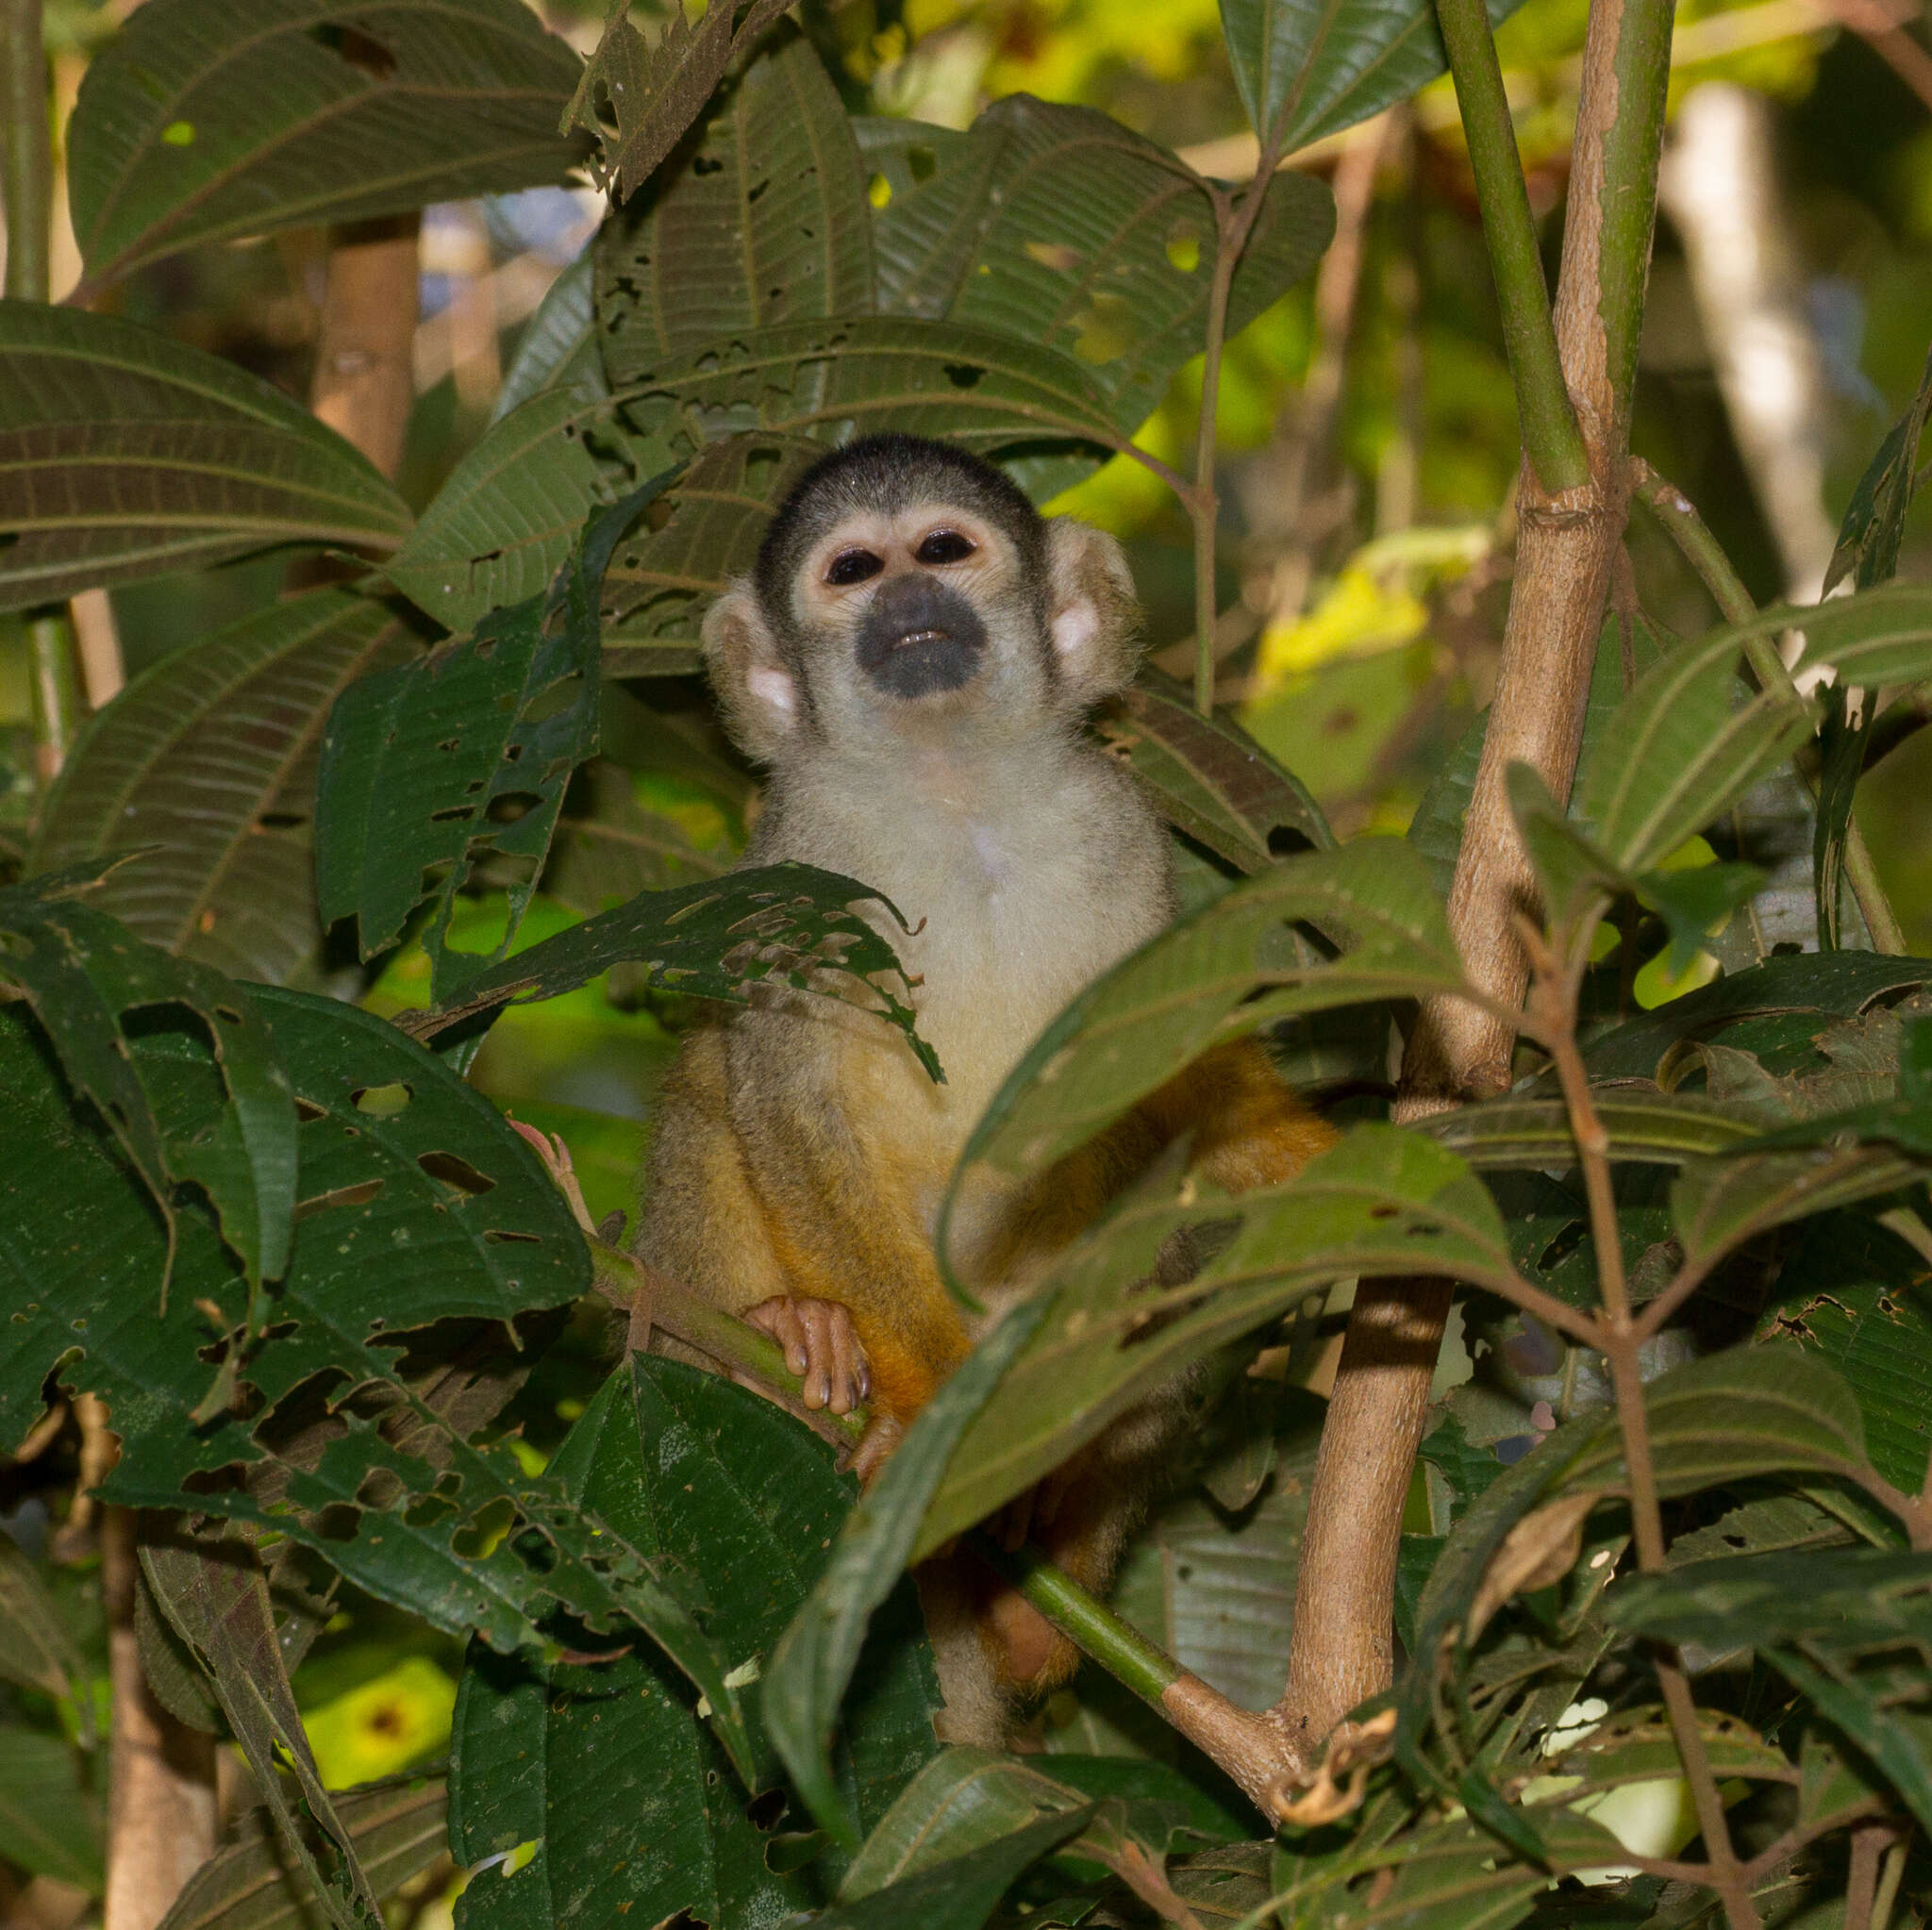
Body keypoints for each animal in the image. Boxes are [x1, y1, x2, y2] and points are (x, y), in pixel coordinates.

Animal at [633, 438, 1329, 1754]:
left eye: (944, 549)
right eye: (851, 571)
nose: (909, 604)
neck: (950, 790)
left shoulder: (1124, 830)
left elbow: (1173, 1073)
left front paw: (1316, 1151)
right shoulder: (795, 864)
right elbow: (786, 1101)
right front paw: (927, 1416)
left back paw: (1046, 1570)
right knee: (711, 1092)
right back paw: (784, 1338)